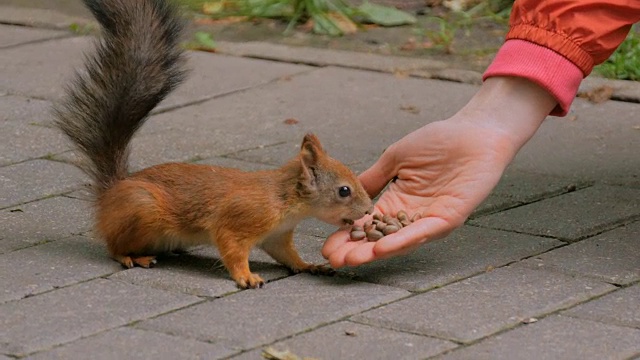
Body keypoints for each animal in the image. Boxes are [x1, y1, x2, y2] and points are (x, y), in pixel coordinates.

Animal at [55, 0, 376, 288]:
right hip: (141, 209)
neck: (284, 198)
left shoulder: (276, 236)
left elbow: (286, 255)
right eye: (344, 191)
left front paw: (309, 265)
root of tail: (110, 194)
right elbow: (231, 247)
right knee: (113, 246)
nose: (368, 211)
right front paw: (246, 276)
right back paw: (132, 257)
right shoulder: (240, 219)